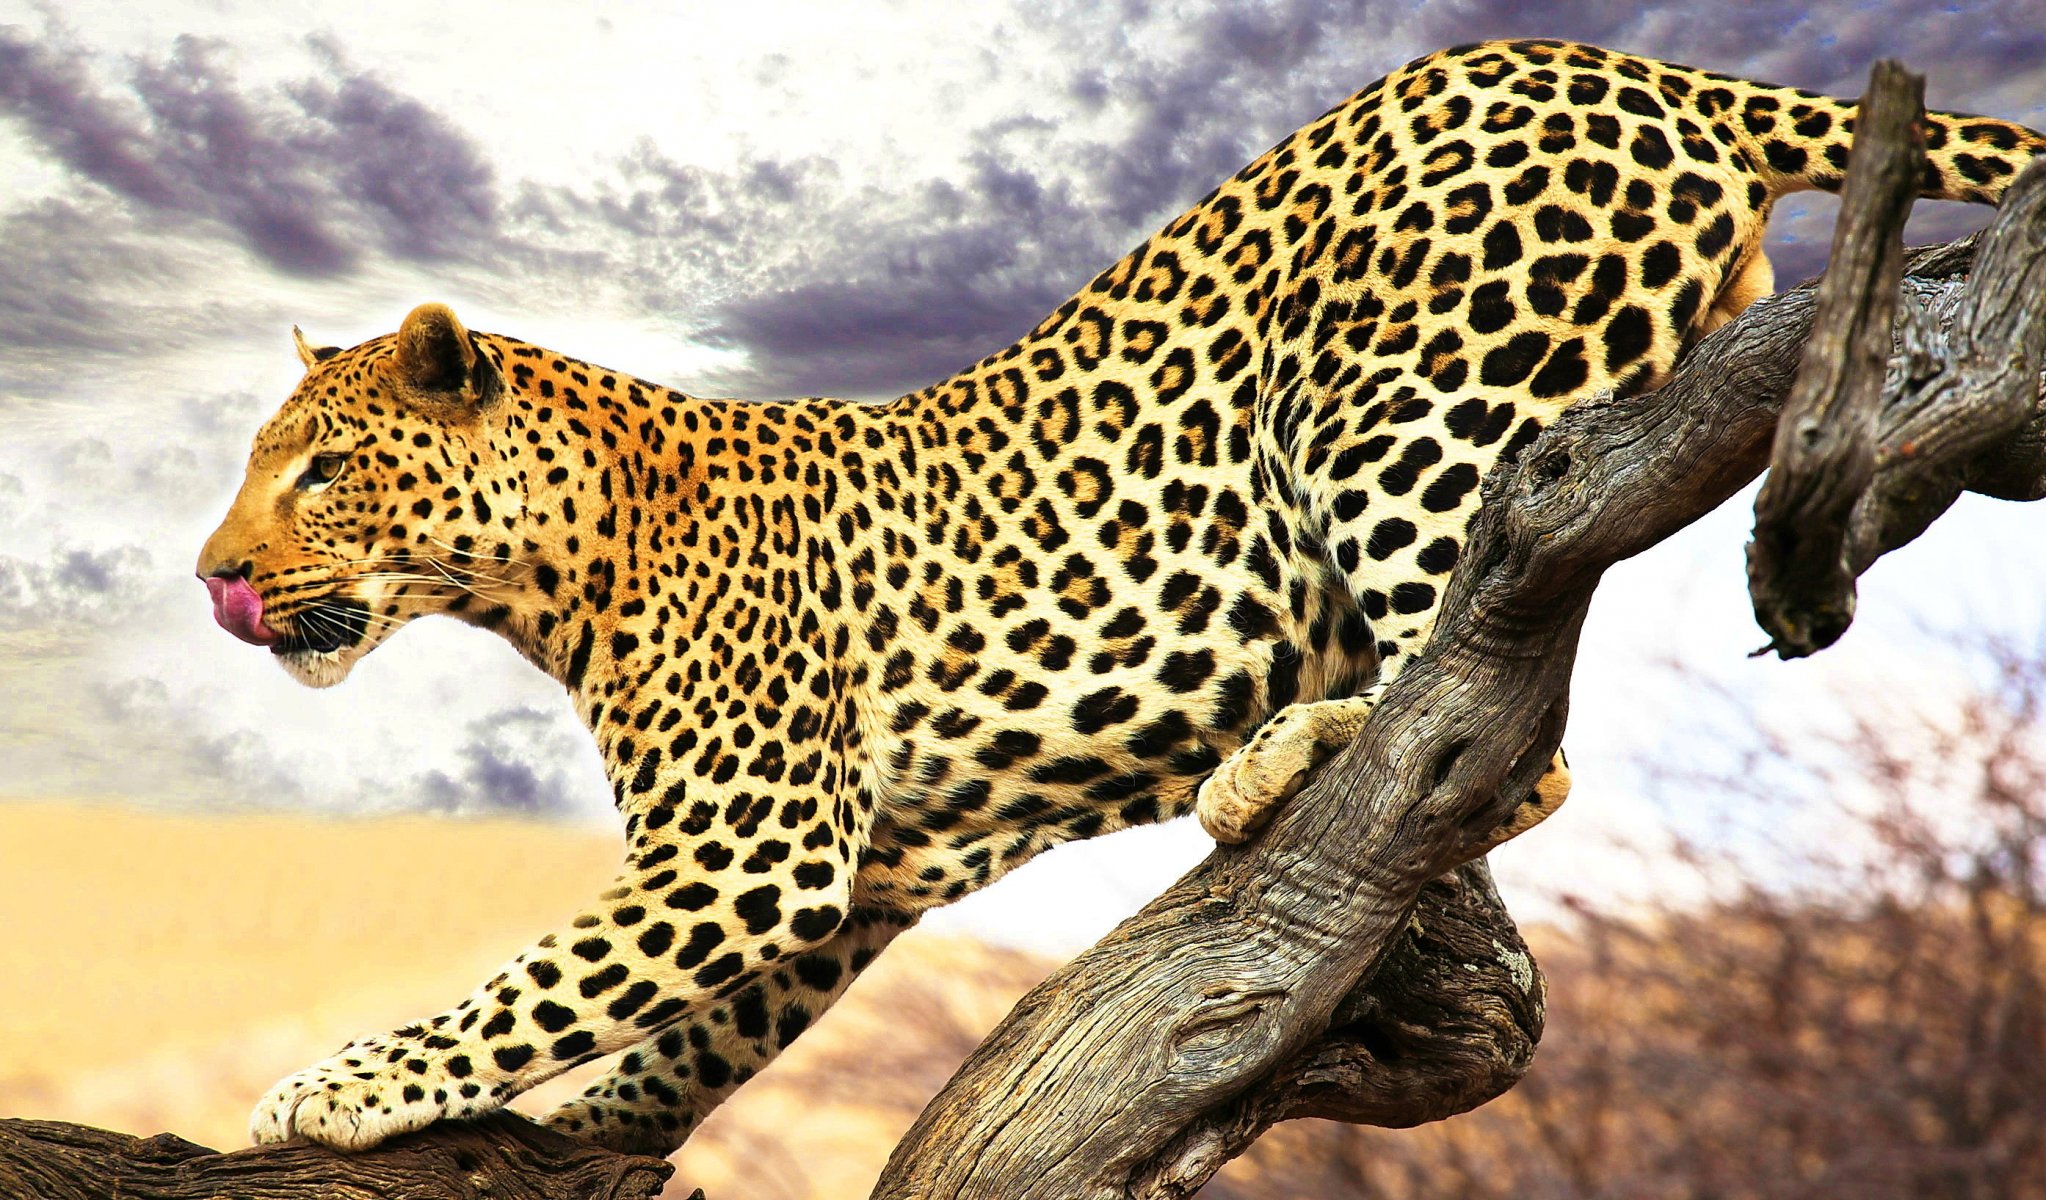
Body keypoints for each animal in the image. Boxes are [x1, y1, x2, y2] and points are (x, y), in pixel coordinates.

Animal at [196, 39, 2045, 1157]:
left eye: (319, 469)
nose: (213, 576)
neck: (556, 567)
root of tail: (1613, 59)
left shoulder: (746, 849)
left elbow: (530, 989)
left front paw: (331, 1091)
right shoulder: (849, 880)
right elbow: (662, 1045)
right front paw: (578, 1142)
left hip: (1395, 410)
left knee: (1505, 717)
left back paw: (1278, 759)